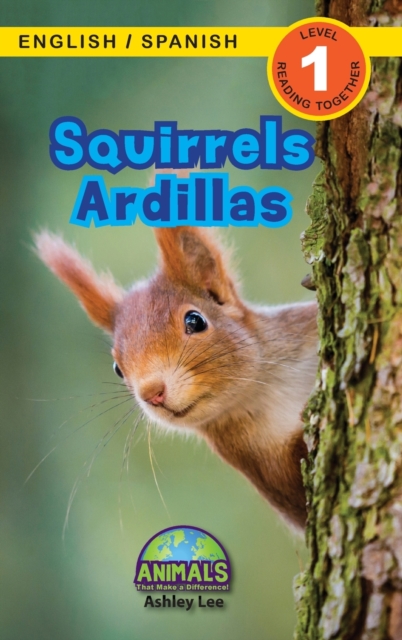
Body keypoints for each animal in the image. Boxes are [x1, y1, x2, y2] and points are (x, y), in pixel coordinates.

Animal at [35, 226, 318, 531]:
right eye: (117, 368)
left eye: (195, 320)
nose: (152, 393)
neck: (266, 388)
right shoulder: (260, 465)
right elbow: (298, 496)